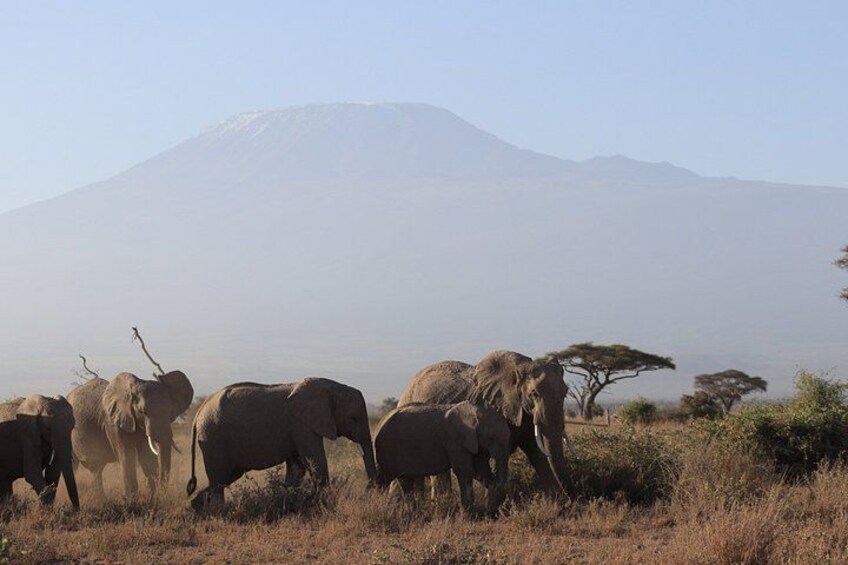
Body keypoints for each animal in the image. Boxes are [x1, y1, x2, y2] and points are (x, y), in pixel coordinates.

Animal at [186, 377, 376, 510]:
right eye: (354, 418)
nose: (368, 489)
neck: (332, 387)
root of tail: (198, 414)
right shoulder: (302, 425)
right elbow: (315, 460)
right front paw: (324, 504)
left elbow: (297, 468)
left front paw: (290, 503)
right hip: (213, 437)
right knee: (219, 479)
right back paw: (220, 513)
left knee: (225, 477)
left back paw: (197, 509)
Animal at [375, 401, 511, 514]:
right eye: (491, 438)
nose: (501, 510)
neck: (475, 409)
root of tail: (380, 423)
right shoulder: (455, 441)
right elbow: (465, 471)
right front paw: (468, 515)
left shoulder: (473, 441)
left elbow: (481, 472)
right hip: (387, 450)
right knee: (384, 479)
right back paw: (376, 504)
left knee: (405, 481)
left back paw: (414, 513)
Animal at [399, 350, 570, 496]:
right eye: (534, 394)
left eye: (565, 393)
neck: (519, 368)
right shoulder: (494, 409)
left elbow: (536, 452)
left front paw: (559, 504)